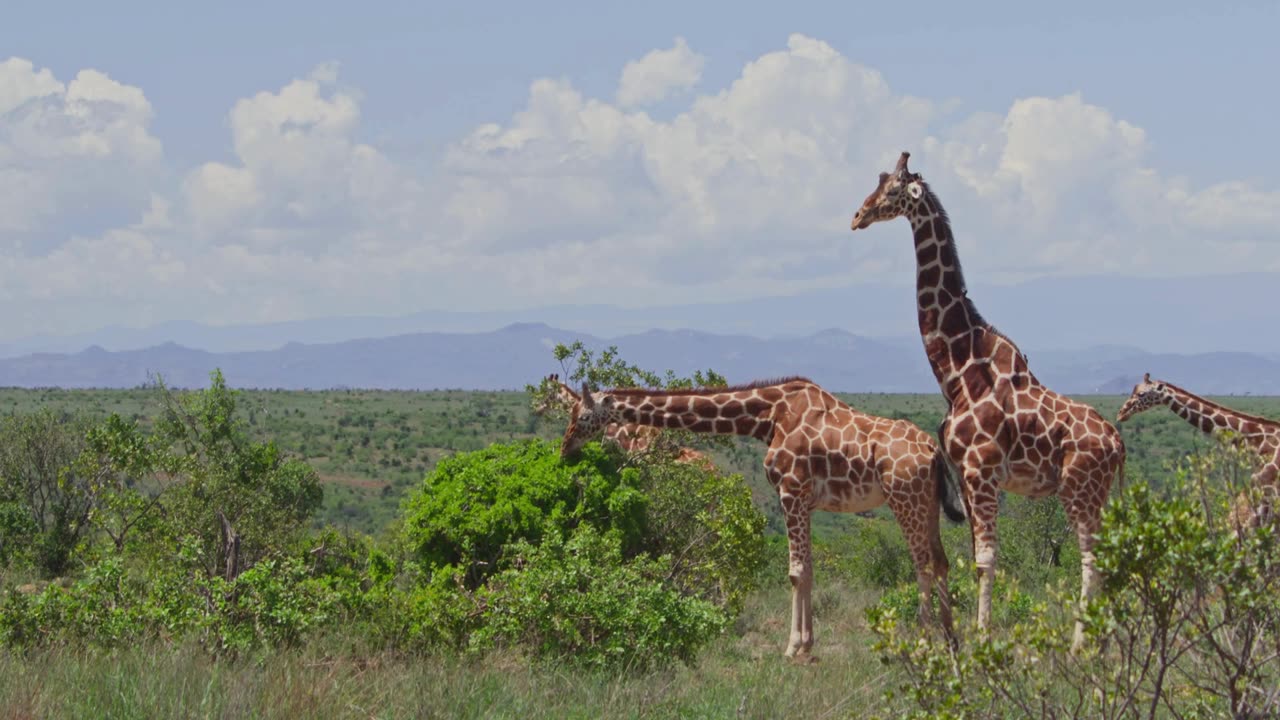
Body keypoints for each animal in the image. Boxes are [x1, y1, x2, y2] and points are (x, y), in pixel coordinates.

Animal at [558, 376, 967, 659]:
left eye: (583, 414)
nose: (565, 448)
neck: (767, 418)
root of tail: (932, 449)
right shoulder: (804, 501)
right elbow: (808, 570)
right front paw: (807, 643)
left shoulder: (790, 491)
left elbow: (796, 572)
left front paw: (793, 647)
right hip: (927, 503)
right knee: (941, 561)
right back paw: (950, 640)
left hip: (904, 498)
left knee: (923, 564)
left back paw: (923, 640)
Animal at [850, 152, 1126, 649]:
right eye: (877, 182)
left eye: (892, 190)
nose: (858, 216)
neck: (958, 374)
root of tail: (1117, 443)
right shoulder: (964, 474)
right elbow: (973, 555)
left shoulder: (981, 472)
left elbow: (985, 560)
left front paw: (982, 639)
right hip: (1092, 492)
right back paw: (1106, 642)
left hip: (1080, 488)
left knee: (1090, 557)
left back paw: (1080, 645)